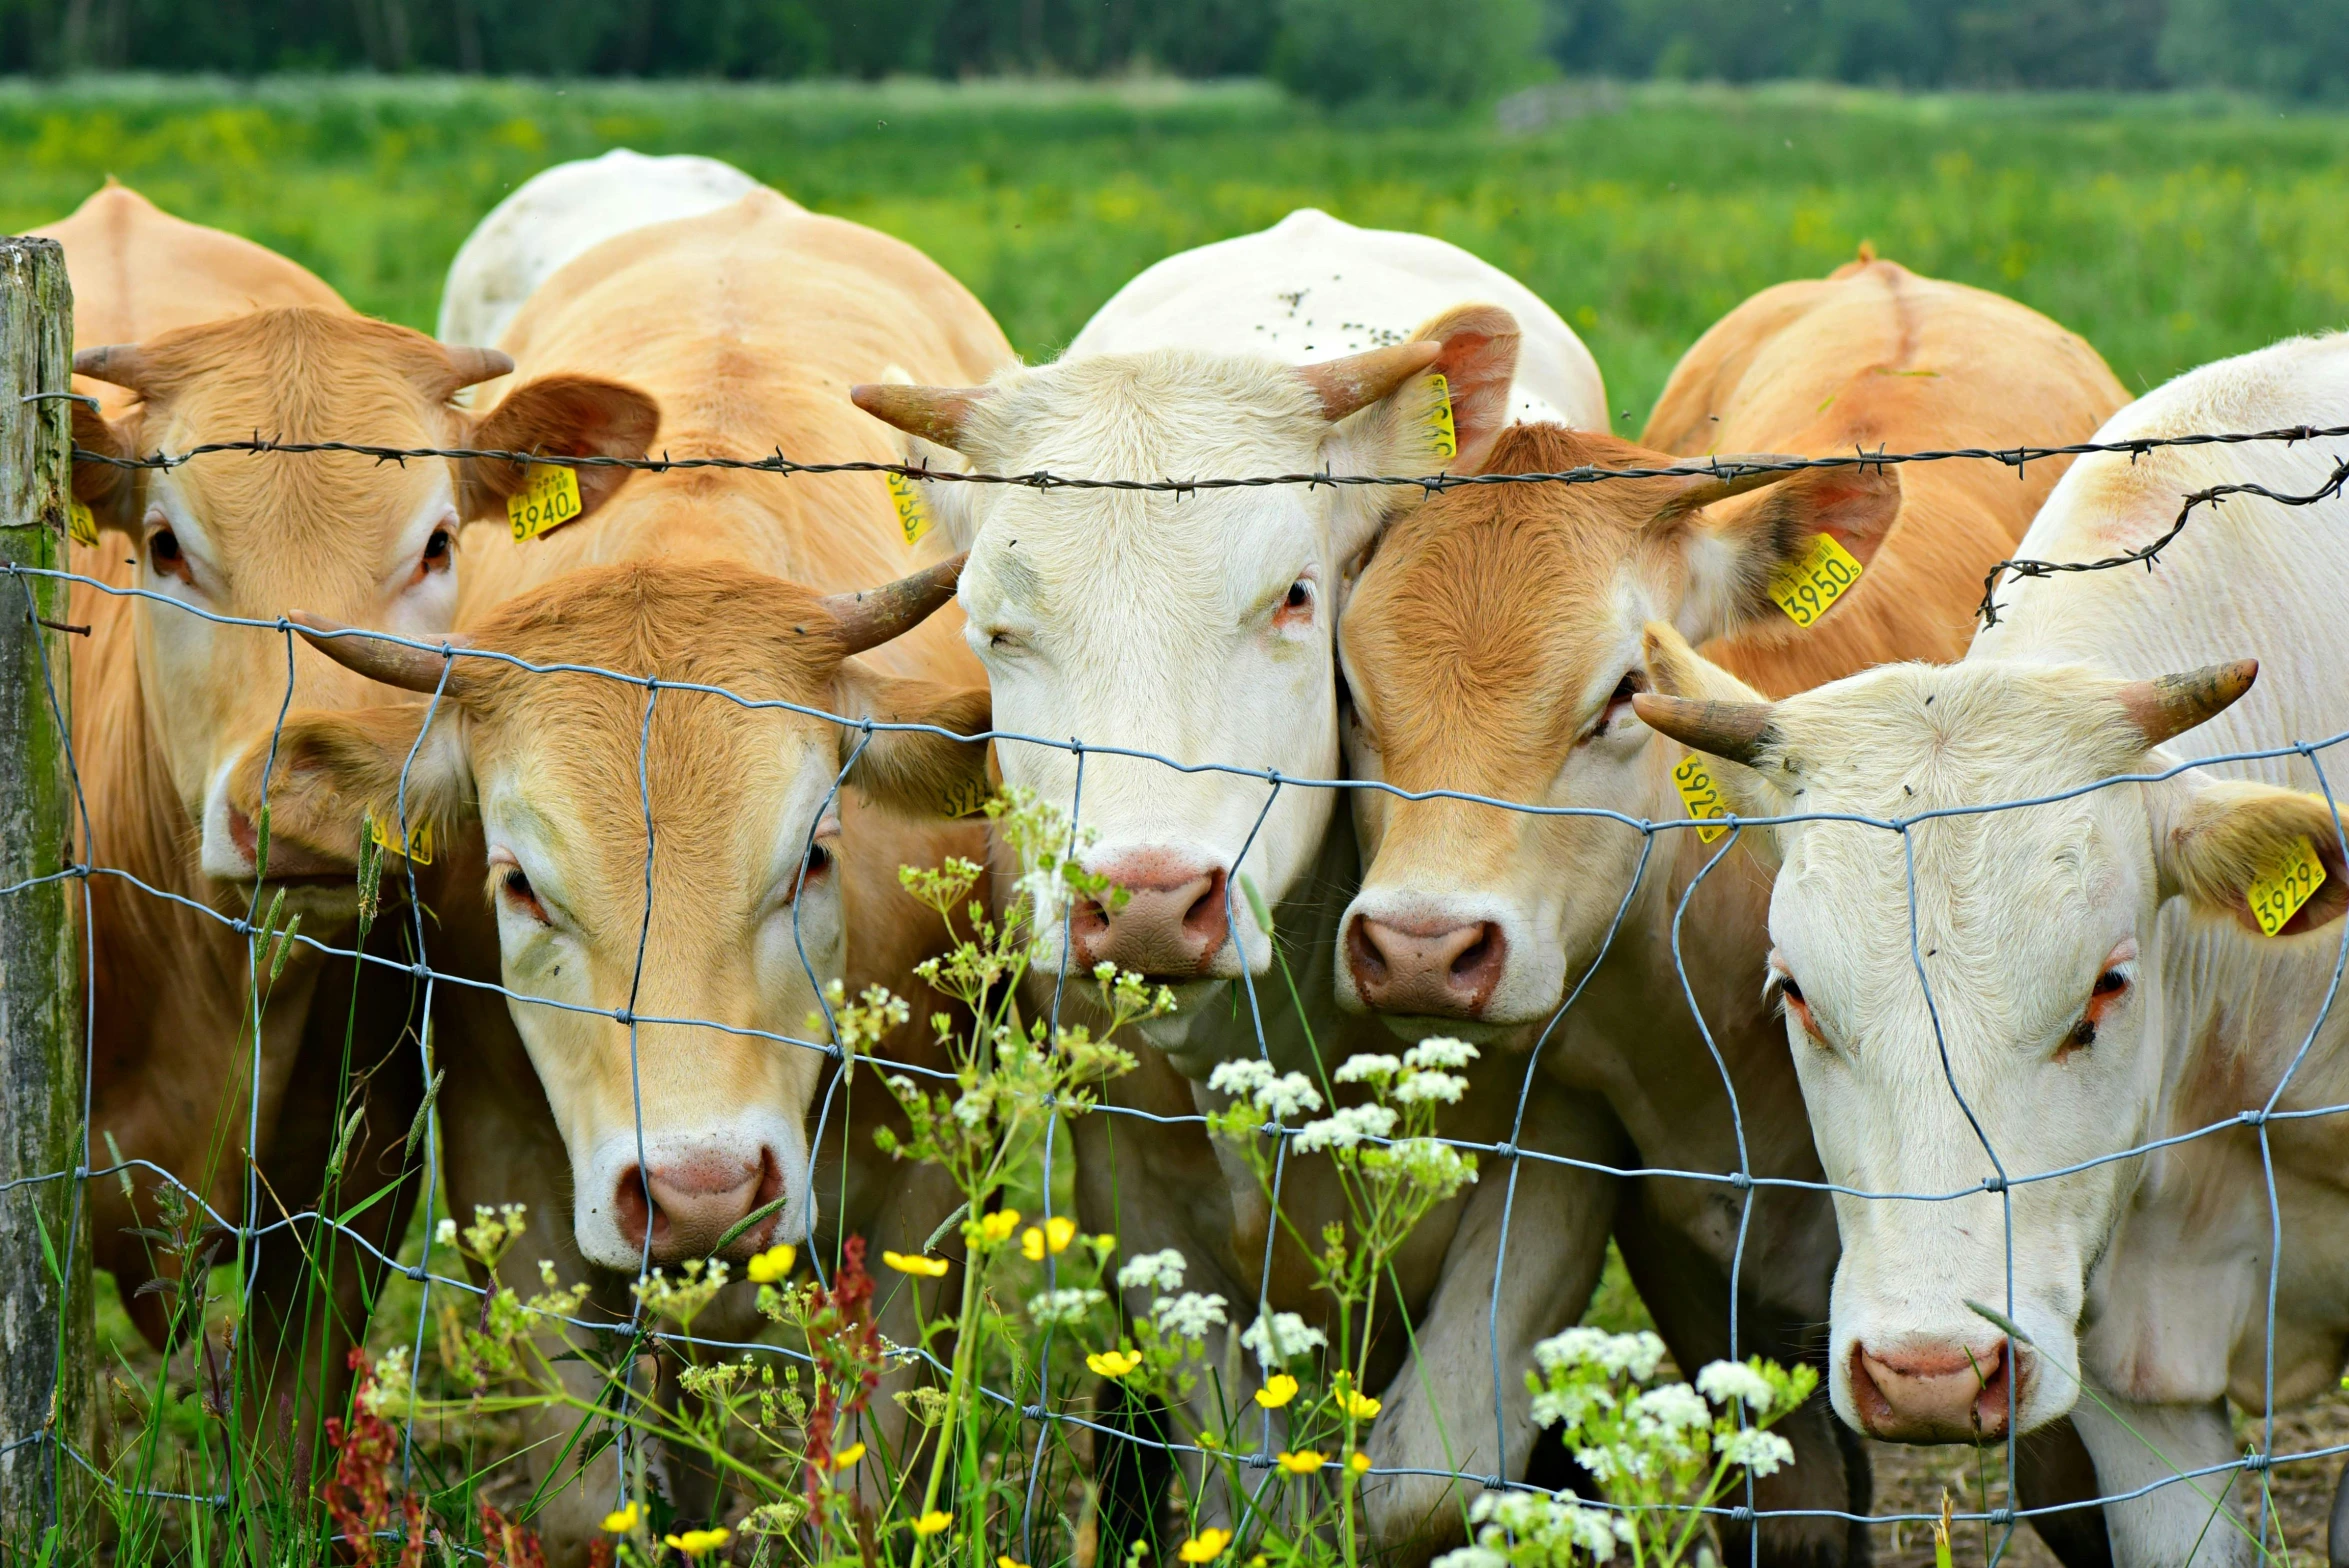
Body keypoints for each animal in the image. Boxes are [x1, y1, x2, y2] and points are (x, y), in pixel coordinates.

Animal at [224, 186, 1014, 1558]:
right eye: (519, 883)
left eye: (813, 854)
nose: (701, 1191)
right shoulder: (511, 1163)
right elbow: (587, 1489)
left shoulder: (922, 1193)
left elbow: (862, 1480)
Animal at [855, 207, 1625, 1558]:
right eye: (994, 630)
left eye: (1295, 597)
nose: (1150, 901)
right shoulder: (1133, 1176)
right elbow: (1244, 1482)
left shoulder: (1560, 1156)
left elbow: (1427, 1480)